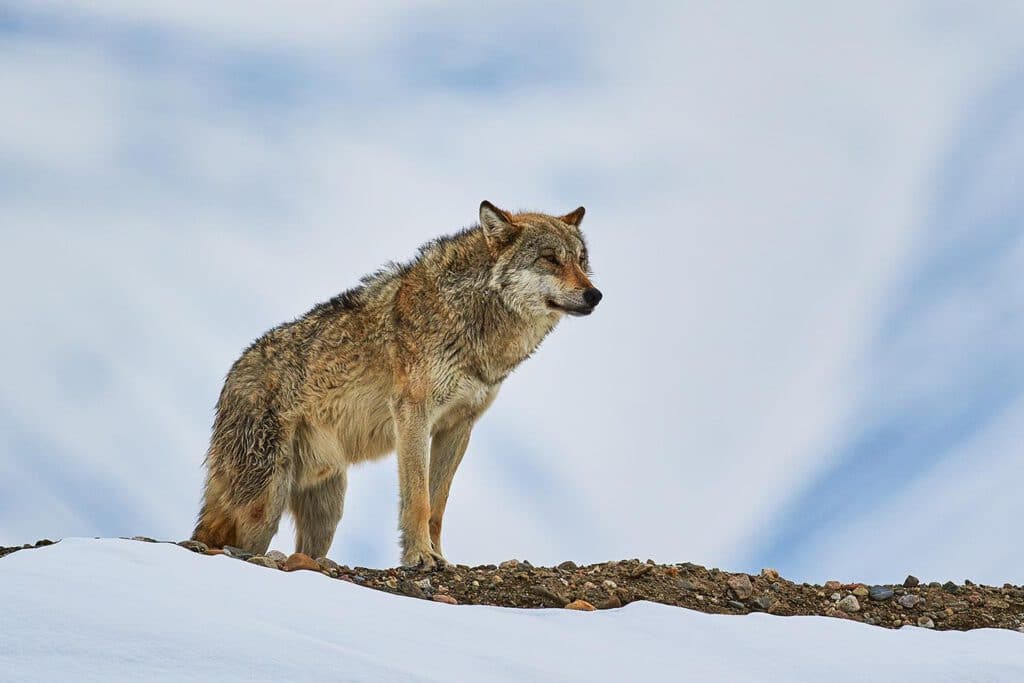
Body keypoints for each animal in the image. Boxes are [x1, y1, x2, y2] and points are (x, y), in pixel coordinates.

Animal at [192, 200, 598, 569]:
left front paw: (440, 557)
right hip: (264, 504)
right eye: (550, 259)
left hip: (327, 511)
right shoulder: (413, 415)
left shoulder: (459, 425)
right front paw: (420, 557)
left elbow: (437, 505)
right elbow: (418, 499)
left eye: (581, 260)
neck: (473, 323)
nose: (595, 294)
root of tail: (231, 379)